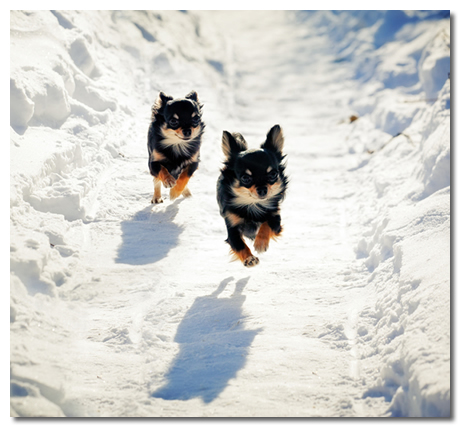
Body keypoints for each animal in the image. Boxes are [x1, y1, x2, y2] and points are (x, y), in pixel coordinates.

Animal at [217, 124, 288, 268]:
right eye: (245, 178)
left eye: (273, 174)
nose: (262, 190)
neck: (252, 204)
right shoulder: (232, 228)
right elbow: (239, 245)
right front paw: (249, 258)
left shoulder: (276, 219)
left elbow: (266, 224)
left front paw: (260, 243)